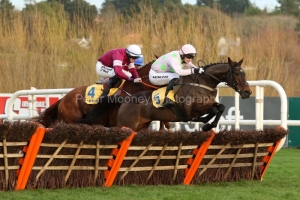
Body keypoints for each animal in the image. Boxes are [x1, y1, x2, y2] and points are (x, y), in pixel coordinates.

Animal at [78, 57, 252, 132]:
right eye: (237, 73)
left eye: (244, 73)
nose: (248, 92)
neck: (203, 82)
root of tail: (125, 99)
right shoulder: (190, 109)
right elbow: (213, 110)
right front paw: (205, 123)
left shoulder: (209, 103)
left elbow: (220, 107)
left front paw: (207, 123)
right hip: (126, 125)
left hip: (140, 126)